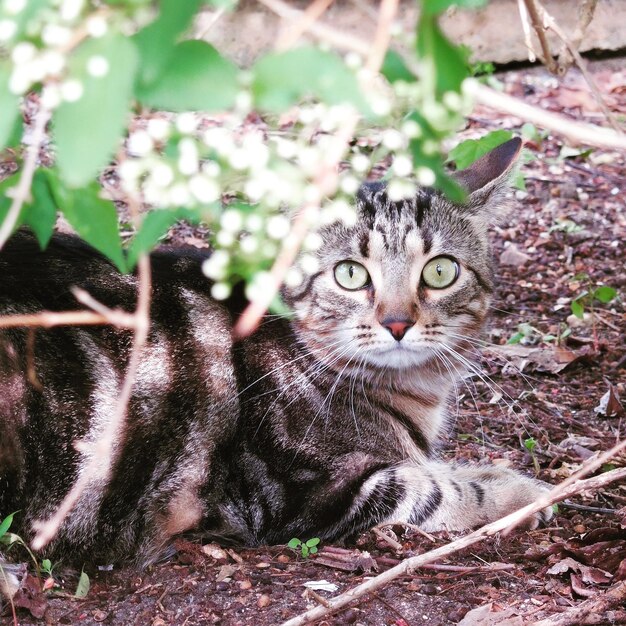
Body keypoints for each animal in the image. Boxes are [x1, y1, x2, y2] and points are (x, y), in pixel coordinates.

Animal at [0, 136, 548, 572]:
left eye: (440, 271)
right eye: (350, 274)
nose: (397, 323)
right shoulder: (297, 490)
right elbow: (439, 487)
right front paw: (522, 492)